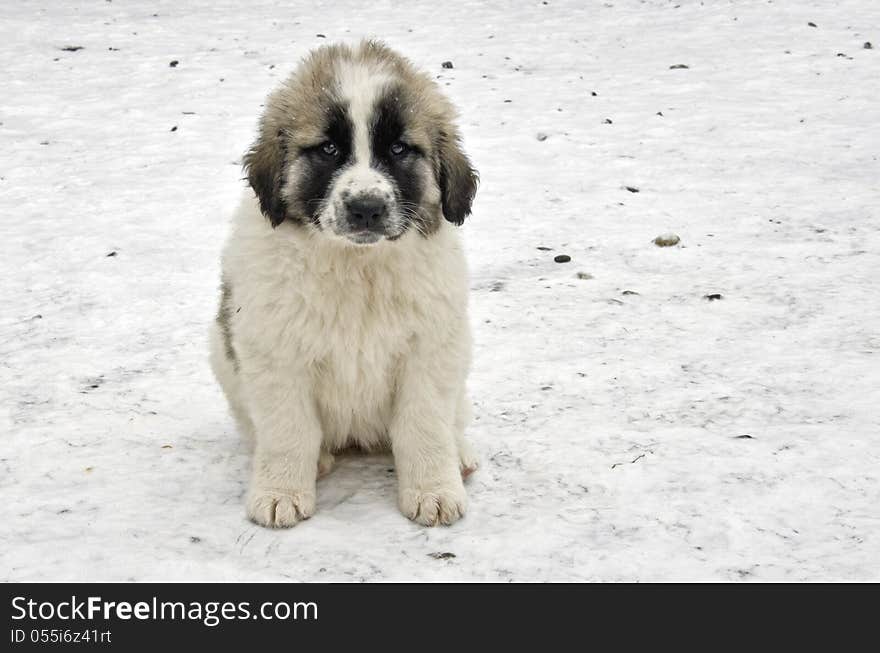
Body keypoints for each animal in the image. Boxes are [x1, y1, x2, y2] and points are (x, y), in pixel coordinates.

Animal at [209, 40, 478, 528]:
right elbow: (288, 429)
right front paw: (280, 492)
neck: (357, 266)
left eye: (399, 149)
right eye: (329, 149)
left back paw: (460, 455)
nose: (366, 208)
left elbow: (424, 424)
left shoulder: (430, 350)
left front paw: (434, 490)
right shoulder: (276, 354)